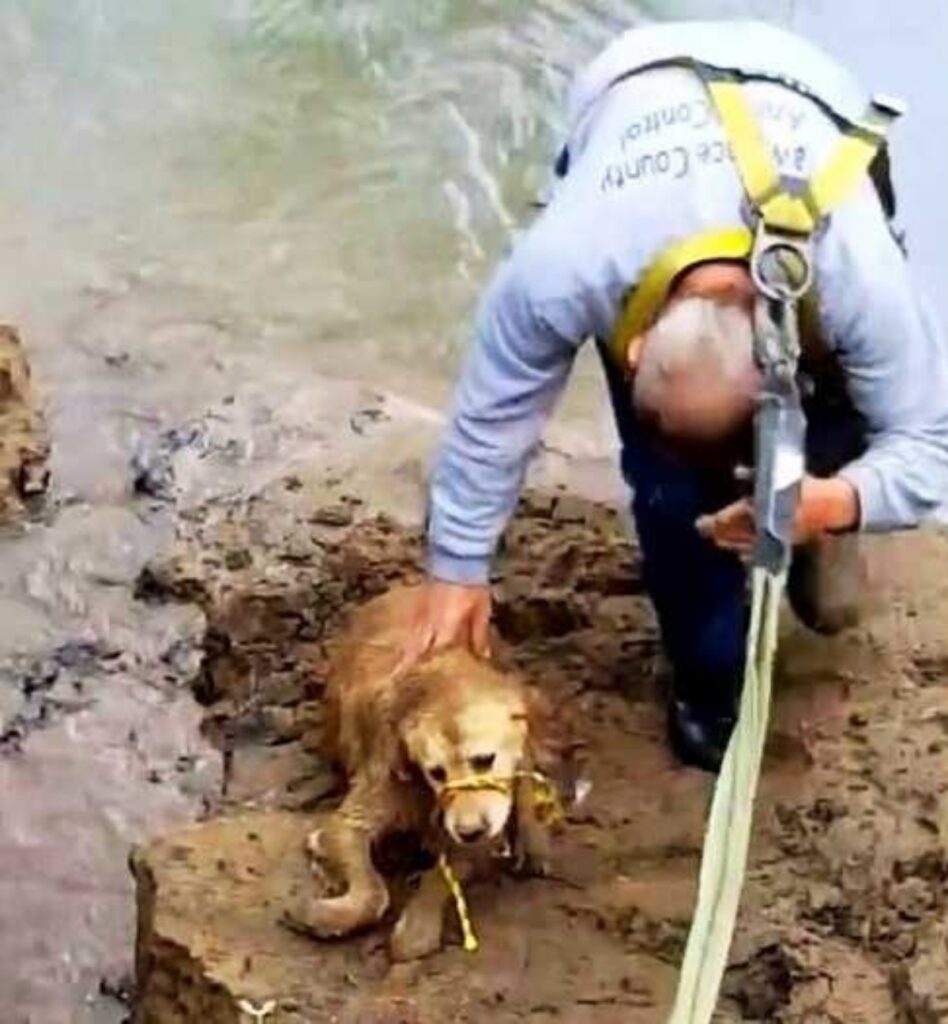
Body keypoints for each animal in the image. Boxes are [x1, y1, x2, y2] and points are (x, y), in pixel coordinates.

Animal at [282, 585, 565, 958]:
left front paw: (418, 928)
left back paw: (534, 842)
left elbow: (441, 876)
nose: (469, 831)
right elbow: (373, 892)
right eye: (436, 773)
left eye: (484, 760)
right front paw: (321, 913)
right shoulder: (356, 815)